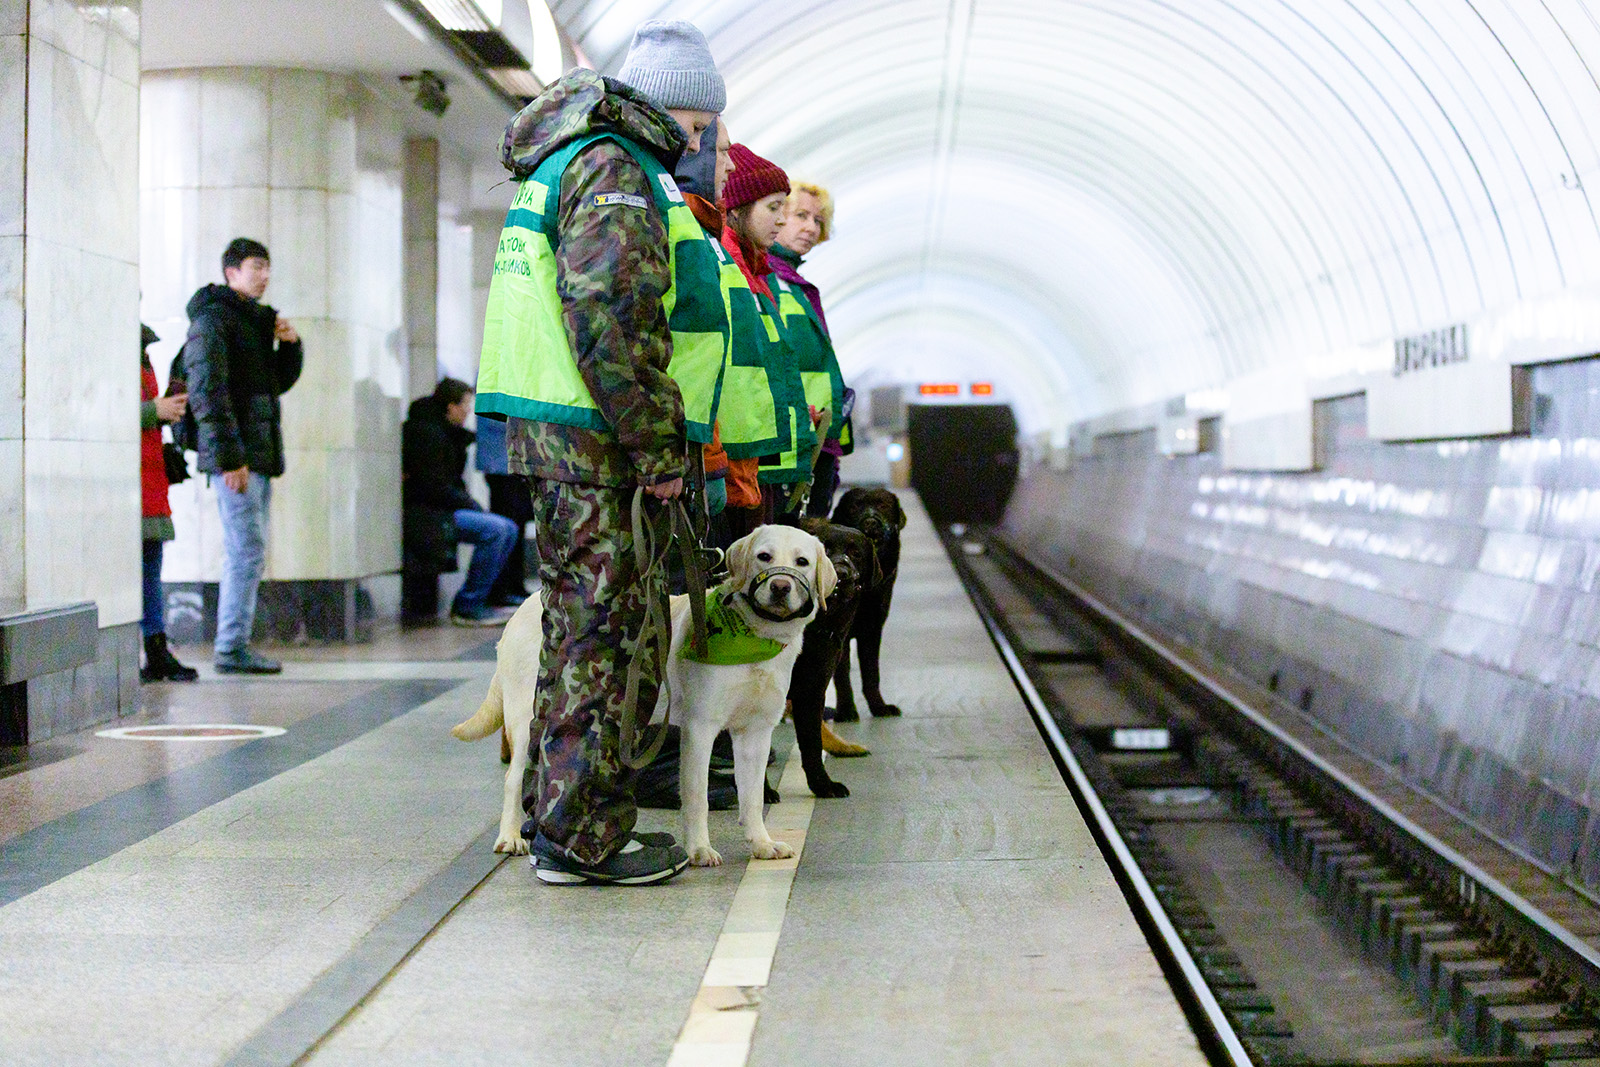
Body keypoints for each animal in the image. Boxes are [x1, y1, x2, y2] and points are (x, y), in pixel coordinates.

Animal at [444, 524, 832, 870]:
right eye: (764, 556)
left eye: (802, 562)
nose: (780, 586)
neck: (754, 639)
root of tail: (521, 610)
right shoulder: (700, 729)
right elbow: (697, 797)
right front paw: (700, 850)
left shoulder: (756, 732)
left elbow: (751, 797)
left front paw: (762, 843)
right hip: (528, 719)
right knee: (513, 779)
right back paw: (512, 836)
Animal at [790, 521, 883, 796]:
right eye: (826, 549)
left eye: (856, 553)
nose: (841, 572)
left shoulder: (812, 690)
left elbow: (811, 744)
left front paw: (822, 785)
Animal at [832, 489, 908, 723]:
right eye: (854, 506)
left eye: (883, 505)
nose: (871, 521)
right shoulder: (840, 634)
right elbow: (842, 675)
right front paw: (846, 710)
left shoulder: (873, 631)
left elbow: (872, 673)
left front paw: (879, 707)